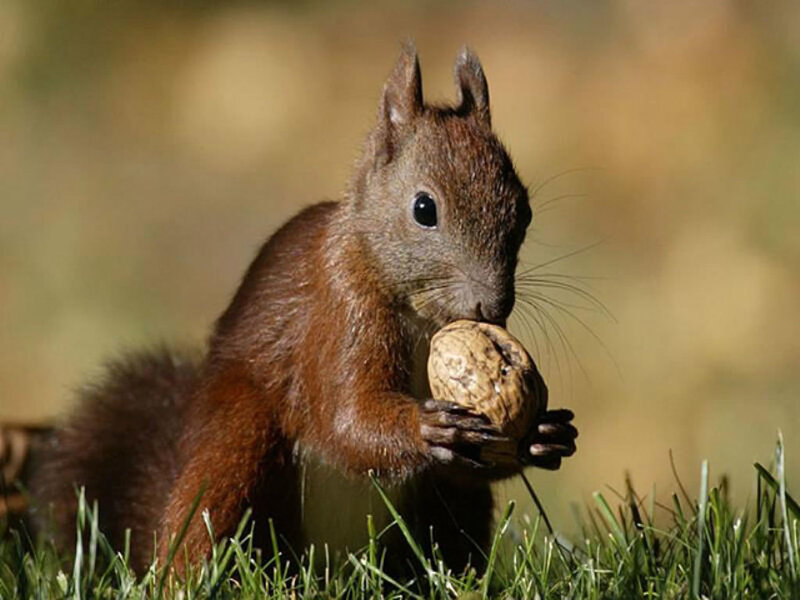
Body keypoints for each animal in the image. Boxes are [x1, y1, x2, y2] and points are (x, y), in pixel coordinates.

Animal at [30, 44, 578, 575]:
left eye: (524, 209)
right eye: (424, 209)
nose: (494, 303)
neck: (421, 315)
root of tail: (325, 564)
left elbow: (480, 455)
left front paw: (543, 433)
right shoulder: (337, 313)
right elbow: (345, 417)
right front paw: (424, 428)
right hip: (235, 437)